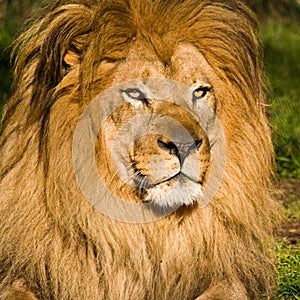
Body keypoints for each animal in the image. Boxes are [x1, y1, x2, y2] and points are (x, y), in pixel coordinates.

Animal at [0, 0, 282, 300]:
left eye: (200, 92)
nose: (184, 145)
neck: (145, 230)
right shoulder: (23, 272)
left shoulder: (227, 277)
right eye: (135, 93)